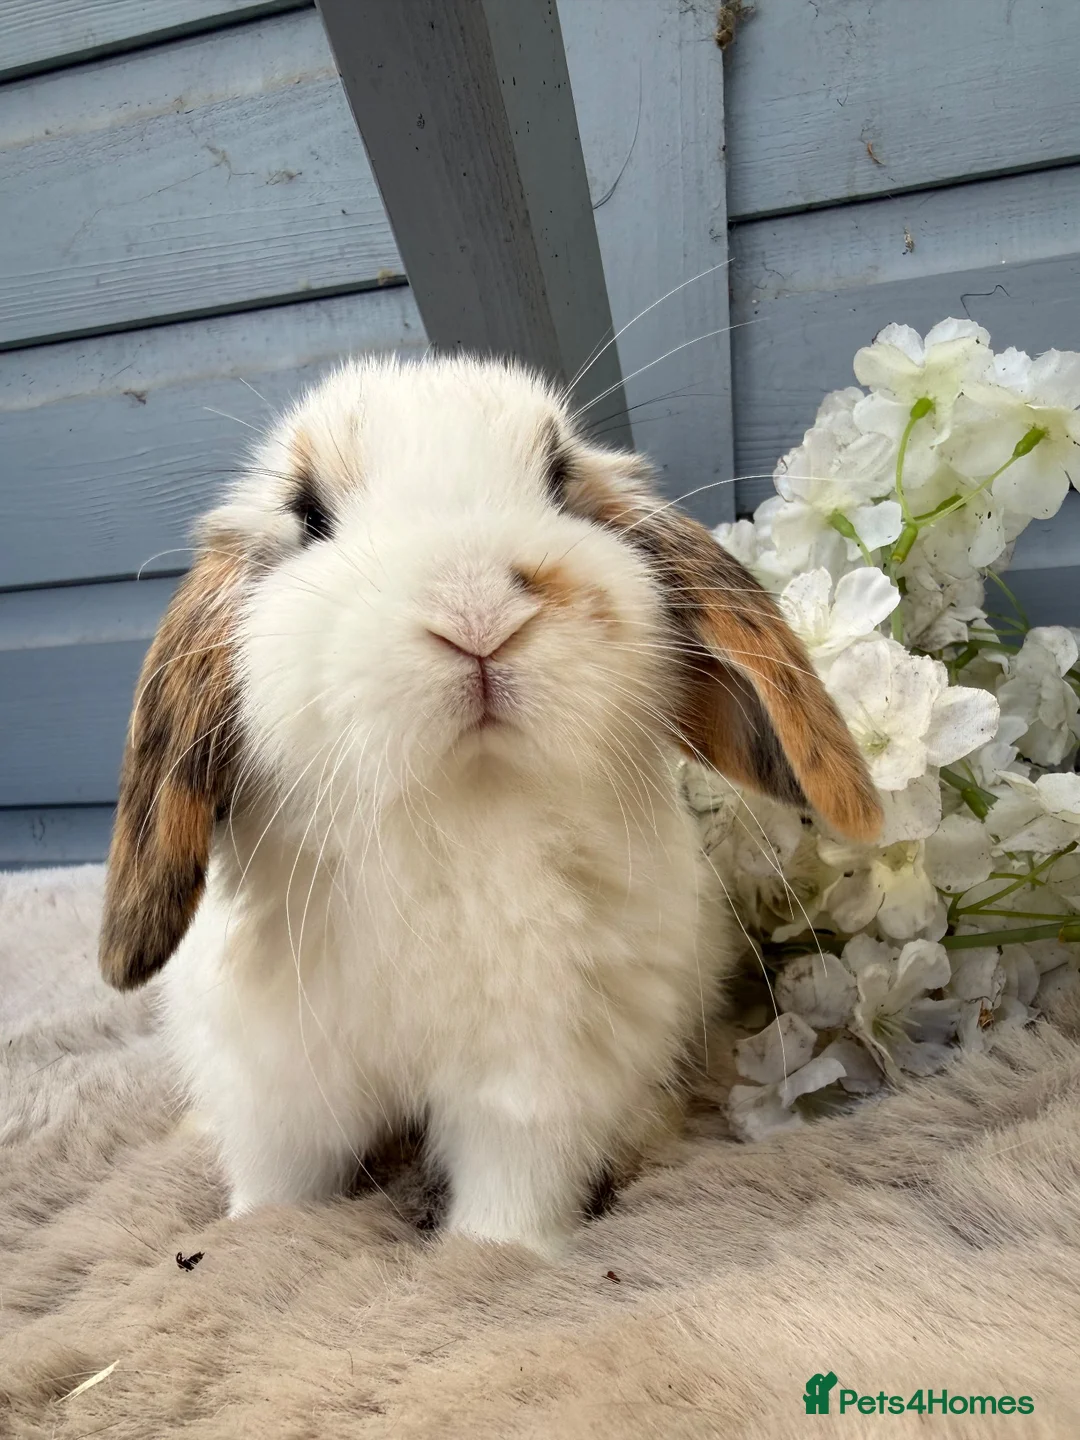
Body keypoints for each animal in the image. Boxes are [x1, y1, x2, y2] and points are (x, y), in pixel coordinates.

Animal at [98, 354, 881, 1255]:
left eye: (560, 481)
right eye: (308, 513)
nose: (476, 609)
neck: (453, 812)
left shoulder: (538, 1077)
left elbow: (512, 1190)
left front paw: (495, 1254)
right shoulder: (278, 1084)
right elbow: (283, 1184)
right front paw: (249, 1236)